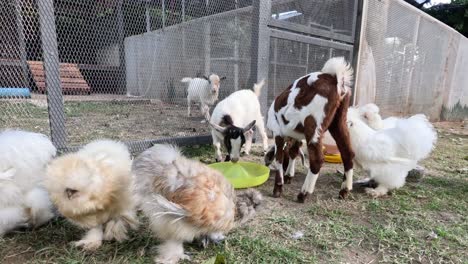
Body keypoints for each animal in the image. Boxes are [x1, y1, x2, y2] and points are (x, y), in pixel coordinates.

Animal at [266, 57, 354, 202]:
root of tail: (334, 78)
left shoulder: (278, 133)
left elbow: (279, 157)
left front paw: (278, 188)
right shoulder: (296, 136)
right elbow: (293, 152)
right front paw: (289, 176)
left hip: (313, 126)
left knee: (317, 159)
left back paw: (303, 194)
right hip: (339, 122)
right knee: (348, 153)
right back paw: (344, 190)